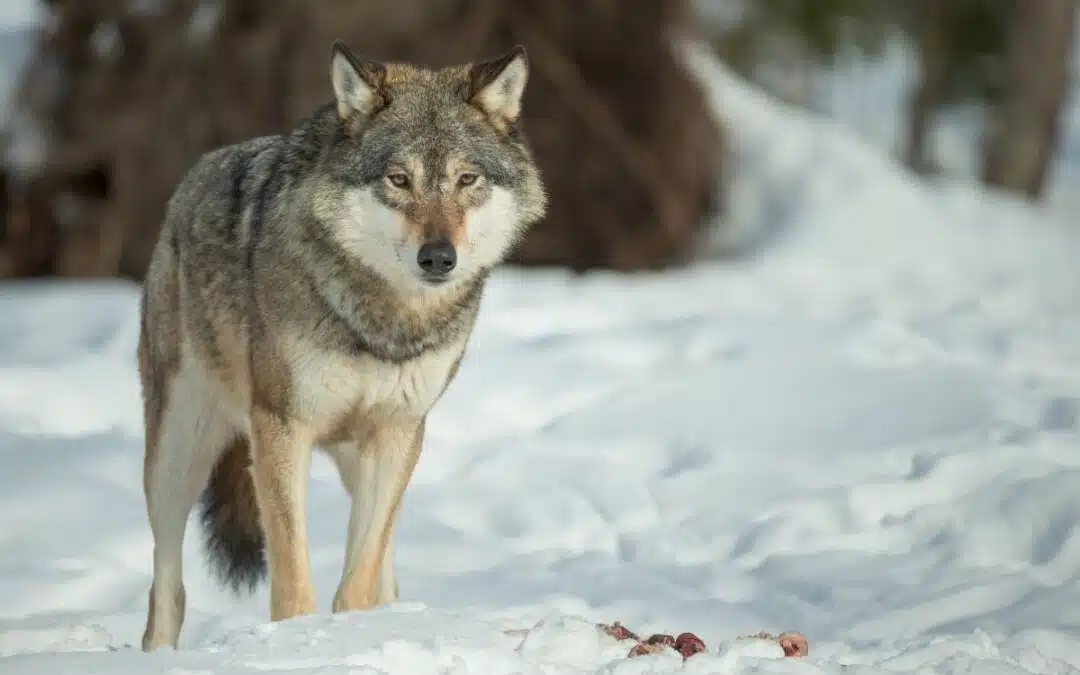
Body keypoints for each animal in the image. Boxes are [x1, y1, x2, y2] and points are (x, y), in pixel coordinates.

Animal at [138, 39, 544, 652]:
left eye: (466, 179)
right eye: (399, 180)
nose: (438, 258)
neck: (382, 322)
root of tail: (185, 187)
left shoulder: (397, 432)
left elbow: (359, 577)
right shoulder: (281, 426)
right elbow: (292, 577)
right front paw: (296, 641)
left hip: (364, 457)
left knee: (387, 571)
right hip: (178, 455)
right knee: (167, 588)